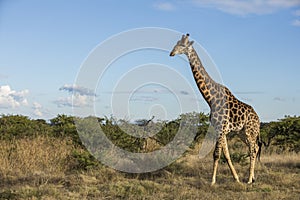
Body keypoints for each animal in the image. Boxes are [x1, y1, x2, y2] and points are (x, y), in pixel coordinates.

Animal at [170, 33, 262, 185]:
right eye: (175, 43)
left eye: (182, 45)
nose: (171, 53)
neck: (210, 99)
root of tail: (258, 119)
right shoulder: (220, 130)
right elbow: (226, 154)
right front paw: (236, 178)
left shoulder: (221, 129)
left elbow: (216, 154)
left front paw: (212, 181)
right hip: (242, 133)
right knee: (254, 148)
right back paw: (252, 177)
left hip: (250, 131)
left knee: (254, 149)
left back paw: (249, 180)